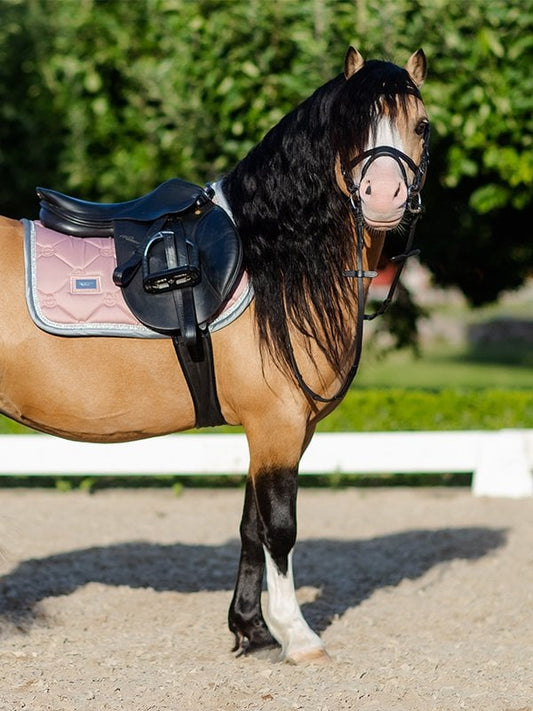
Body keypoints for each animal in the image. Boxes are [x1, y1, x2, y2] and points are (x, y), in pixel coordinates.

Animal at [0, 47, 429, 663]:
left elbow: (252, 526)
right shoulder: (276, 423)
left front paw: (252, 629)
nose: (385, 198)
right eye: (352, 126)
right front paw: (299, 637)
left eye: (421, 126)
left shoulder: (282, 429)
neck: (272, 255)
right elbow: (280, 528)